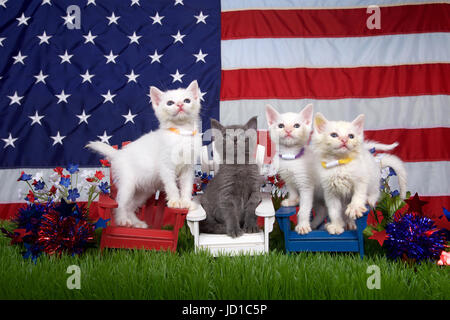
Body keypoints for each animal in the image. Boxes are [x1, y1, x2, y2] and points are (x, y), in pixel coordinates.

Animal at [86, 81, 202, 229]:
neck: (181, 133)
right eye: (170, 103)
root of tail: (118, 153)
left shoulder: (188, 168)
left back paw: (137, 223)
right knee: (120, 205)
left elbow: (186, 186)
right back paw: (123, 220)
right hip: (128, 184)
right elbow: (171, 185)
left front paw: (186, 202)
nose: (180, 104)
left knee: (130, 206)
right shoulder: (166, 166)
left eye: (187, 100)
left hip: (143, 191)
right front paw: (175, 201)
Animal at [266, 104, 326, 234]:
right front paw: (292, 201)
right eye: (281, 126)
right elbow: (292, 191)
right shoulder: (288, 179)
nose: (288, 130)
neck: (290, 157)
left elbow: (304, 209)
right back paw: (314, 224)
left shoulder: (306, 185)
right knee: (322, 211)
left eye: (296, 126)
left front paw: (302, 225)